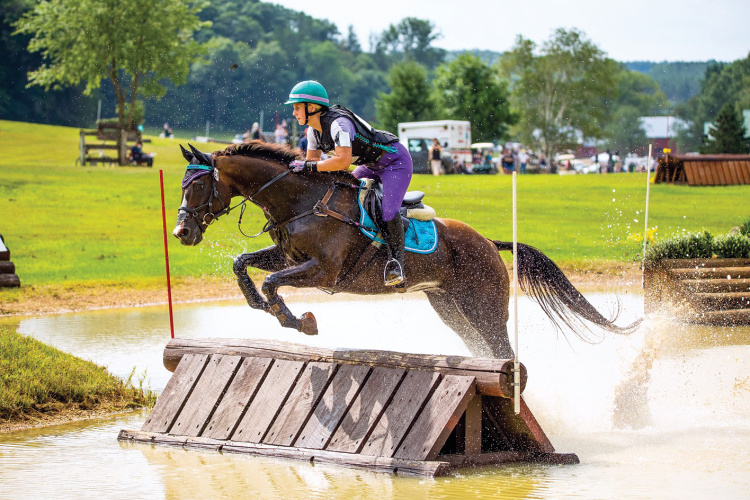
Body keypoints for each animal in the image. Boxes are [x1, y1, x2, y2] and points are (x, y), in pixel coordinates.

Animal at [173, 141, 640, 358]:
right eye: (182, 185)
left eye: (198, 185)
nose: (181, 232)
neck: (301, 200)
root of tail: (489, 243)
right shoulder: (290, 258)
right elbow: (244, 266)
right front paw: (262, 306)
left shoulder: (323, 271)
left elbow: (271, 281)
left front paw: (297, 321)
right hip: (451, 307)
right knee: (480, 348)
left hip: (486, 306)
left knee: (503, 352)